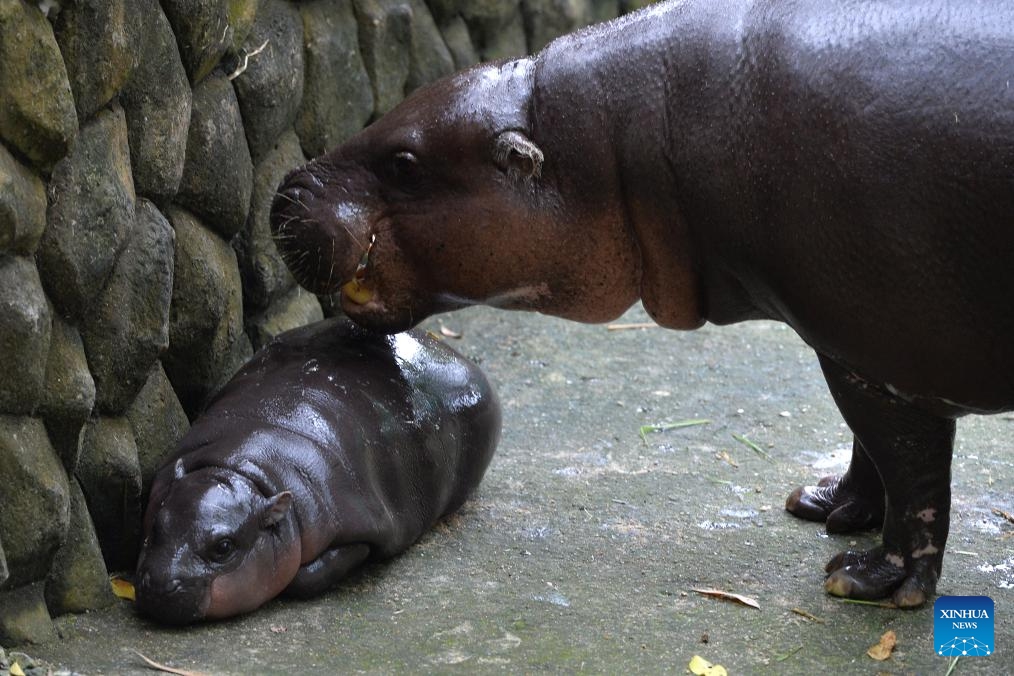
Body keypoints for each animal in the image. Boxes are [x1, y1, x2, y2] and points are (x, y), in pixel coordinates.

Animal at [134, 318, 501, 624]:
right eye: (156, 524)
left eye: (223, 547)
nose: (162, 586)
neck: (243, 471)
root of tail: (445, 349)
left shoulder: (360, 525)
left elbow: (310, 575)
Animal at [269, 0, 1014, 608]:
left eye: (404, 163)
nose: (284, 191)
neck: (611, 143)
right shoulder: (848, 342)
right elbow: (869, 448)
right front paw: (826, 506)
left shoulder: (883, 349)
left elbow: (910, 467)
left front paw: (868, 581)